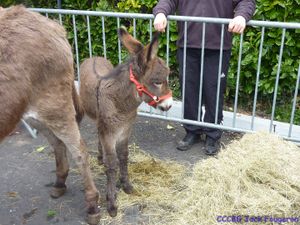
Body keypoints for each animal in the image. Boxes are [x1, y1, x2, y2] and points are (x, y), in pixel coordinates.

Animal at [0, 6, 101, 224]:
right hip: (34, 113)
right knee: (57, 143)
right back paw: (59, 183)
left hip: (54, 106)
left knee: (79, 150)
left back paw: (92, 206)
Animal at [79, 27, 173, 217]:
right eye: (158, 82)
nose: (169, 105)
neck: (121, 104)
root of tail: (93, 56)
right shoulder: (109, 134)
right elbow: (112, 164)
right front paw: (112, 203)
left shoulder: (125, 130)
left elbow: (123, 156)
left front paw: (126, 185)